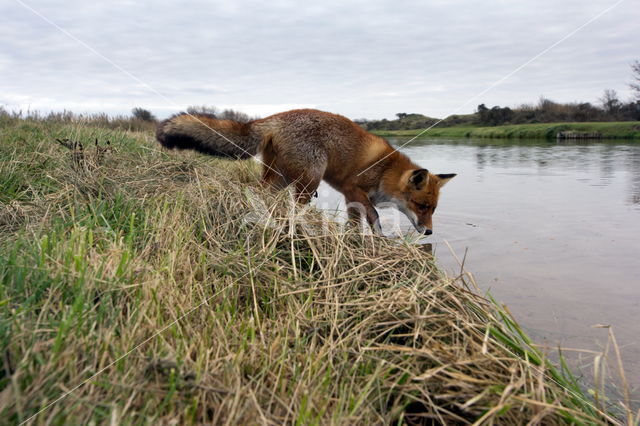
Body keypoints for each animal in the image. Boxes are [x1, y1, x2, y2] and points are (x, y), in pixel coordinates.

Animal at [156, 108, 456, 235]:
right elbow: (375, 217)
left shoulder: (351, 199)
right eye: (421, 206)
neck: (386, 171)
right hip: (309, 179)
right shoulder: (354, 189)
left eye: (433, 209)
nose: (429, 234)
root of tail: (276, 117)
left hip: (279, 178)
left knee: (258, 193)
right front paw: (381, 238)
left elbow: (356, 223)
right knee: (291, 205)